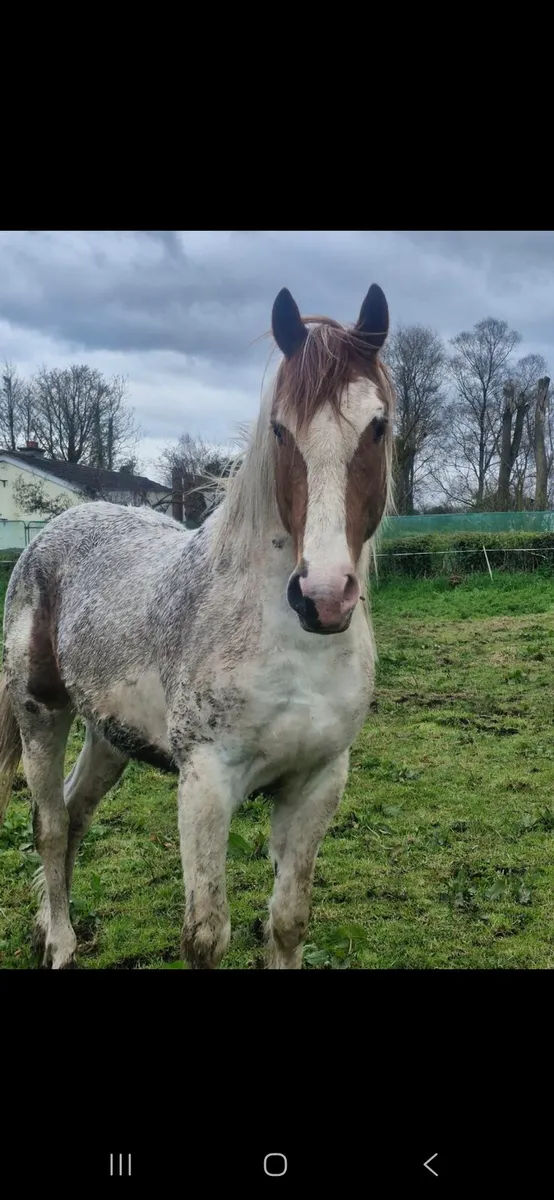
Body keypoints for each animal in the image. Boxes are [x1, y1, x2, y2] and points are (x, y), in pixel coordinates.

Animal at [0, 282, 395, 969]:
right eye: (280, 430)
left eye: (378, 425)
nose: (323, 595)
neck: (292, 648)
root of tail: (52, 531)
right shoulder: (207, 784)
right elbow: (206, 935)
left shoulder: (318, 782)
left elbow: (288, 921)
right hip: (40, 715)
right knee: (48, 826)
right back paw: (60, 943)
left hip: (110, 735)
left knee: (74, 815)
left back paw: (46, 926)